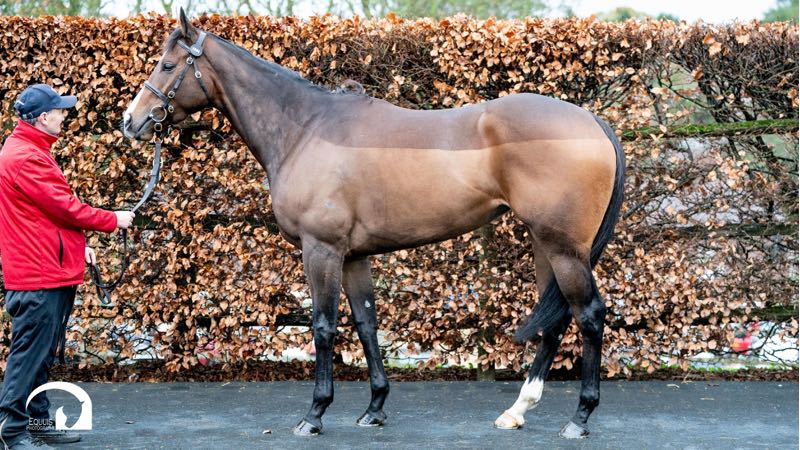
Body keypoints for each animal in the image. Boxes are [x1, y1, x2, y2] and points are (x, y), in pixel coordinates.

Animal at [123, 9, 625, 439]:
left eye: (168, 65)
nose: (131, 121)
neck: (306, 129)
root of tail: (591, 121)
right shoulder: (353, 256)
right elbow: (366, 323)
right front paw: (374, 409)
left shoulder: (321, 249)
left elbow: (323, 327)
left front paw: (314, 414)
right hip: (545, 244)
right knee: (556, 320)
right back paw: (517, 410)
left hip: (564, 248)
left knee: (589, 315)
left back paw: (580, 418)